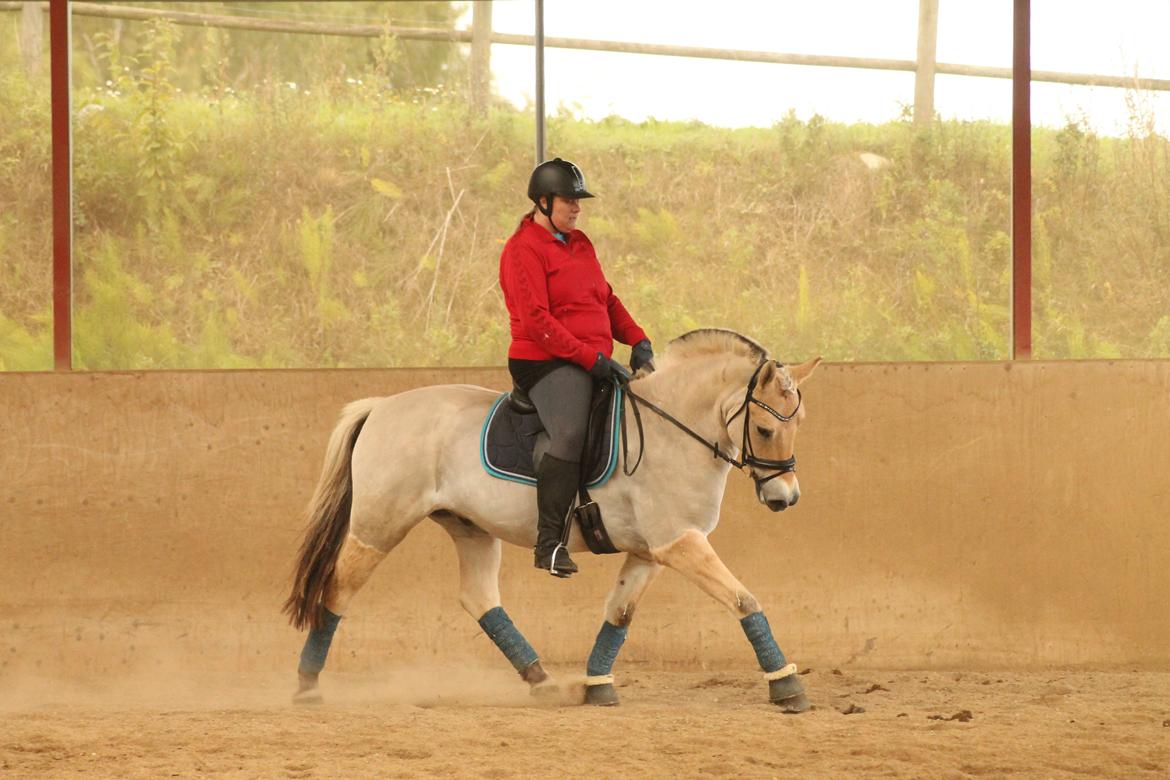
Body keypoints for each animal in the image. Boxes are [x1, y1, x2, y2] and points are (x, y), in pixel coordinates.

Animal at [283, 329, 823, 715]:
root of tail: (381, 407)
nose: (785, 497)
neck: (672, 430)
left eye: (798, 423)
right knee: (338, 588)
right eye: (765, 428)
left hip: (470, 528)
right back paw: (307, 687)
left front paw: (597, 686)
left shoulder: (652, 551)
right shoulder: (679, 544)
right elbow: (744, 598)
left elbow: (619, 613)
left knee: (479, 598)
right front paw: (786, 685)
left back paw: (543, 682)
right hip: (380, 526)